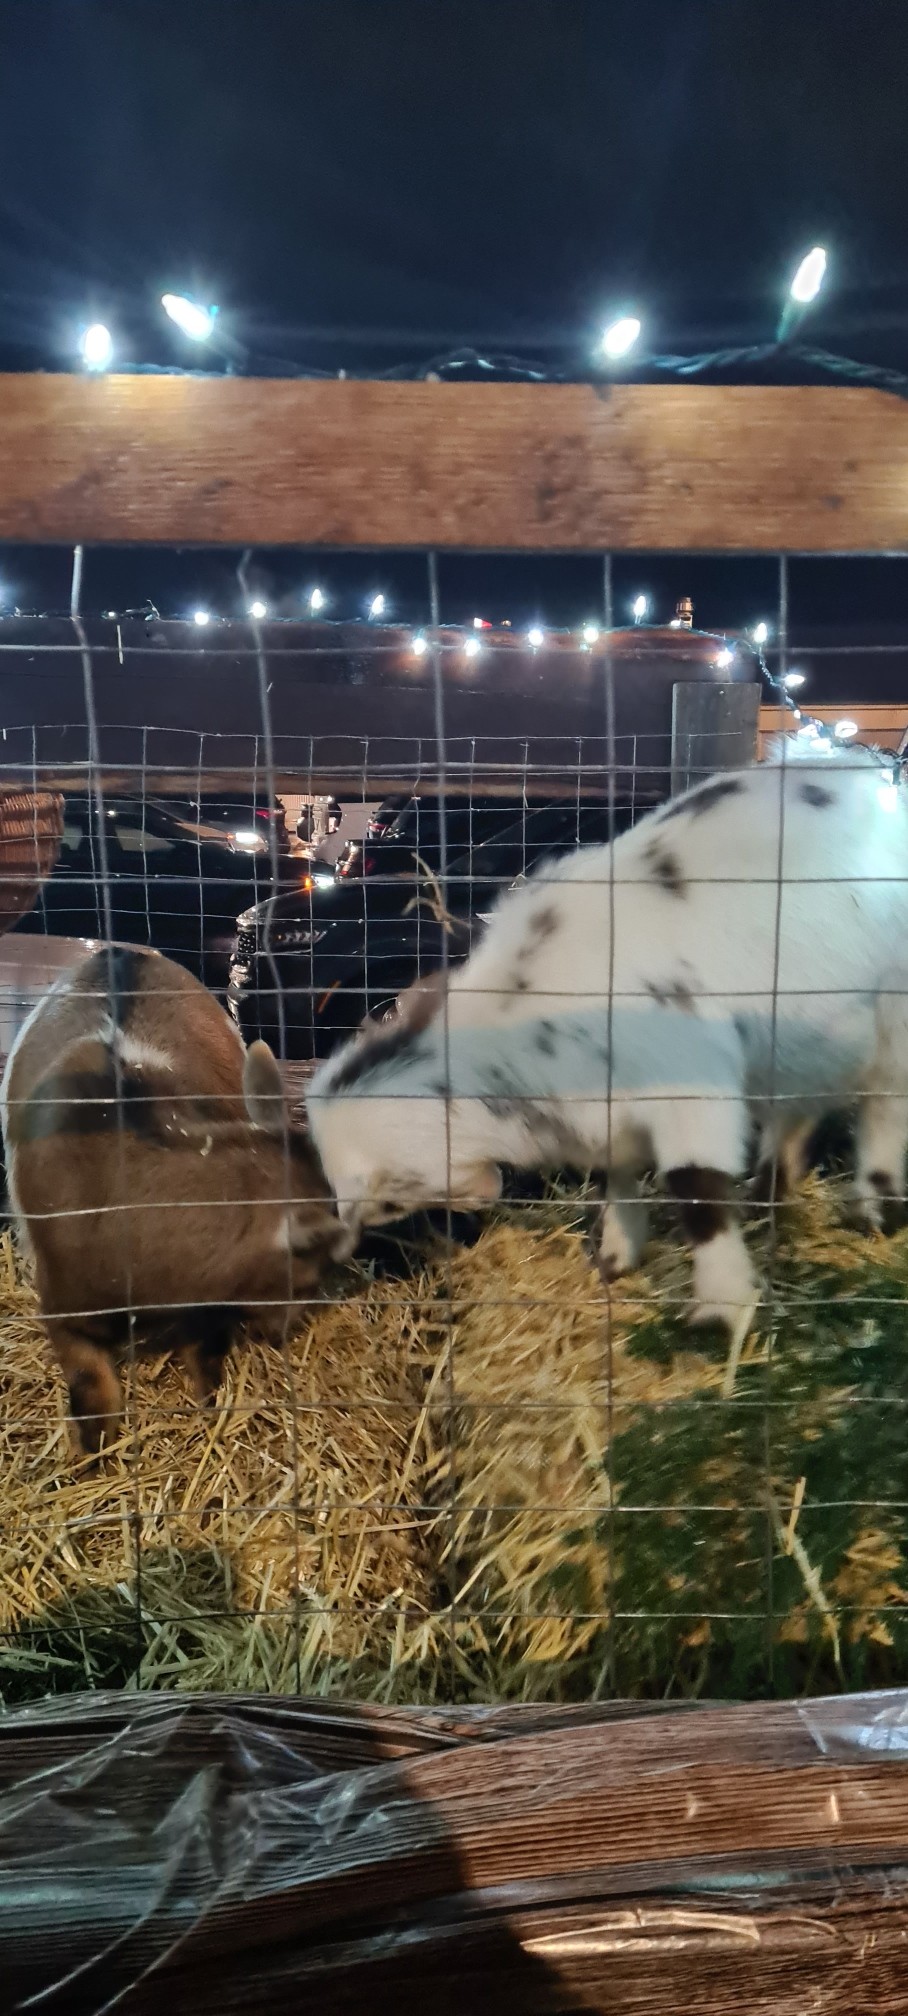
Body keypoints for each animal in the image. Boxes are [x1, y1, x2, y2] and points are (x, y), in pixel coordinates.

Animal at [1, 944, 351, 1454]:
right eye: (310, 1273)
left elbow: (204, 1344)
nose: (278, 1335)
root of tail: (118, 952)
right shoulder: (61, 1300)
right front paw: (93, 1446)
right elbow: (87, 1377)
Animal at [307, 743, 908, 1331]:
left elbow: (698, 1190)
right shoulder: (604, 1113)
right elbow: (612, 1176)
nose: (339, 1249)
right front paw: (616, 1260)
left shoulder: (690, 1088)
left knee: (884, 1103)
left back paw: (877, 1209)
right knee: (800, 1106)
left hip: (891, 1014)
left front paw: (720, 1314)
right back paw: (770, 1194)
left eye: (386, 1201)